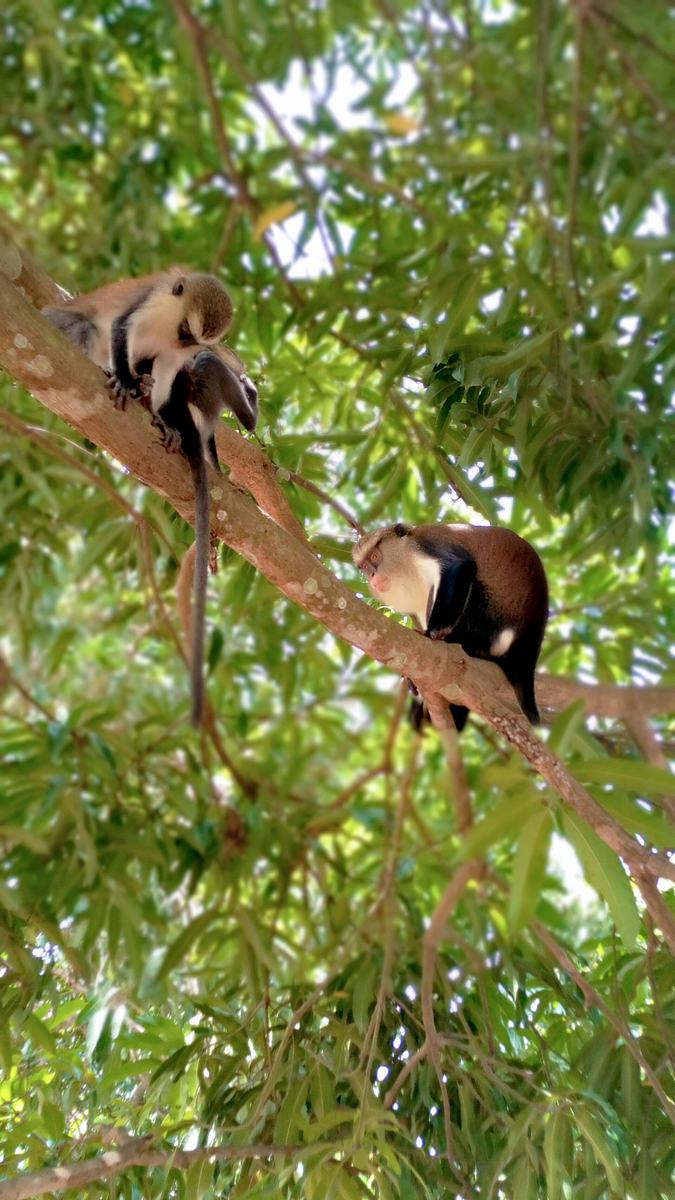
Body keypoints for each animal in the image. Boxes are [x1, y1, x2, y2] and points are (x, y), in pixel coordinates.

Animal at [353, 522, 548, 731]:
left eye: (375, 557)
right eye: (365, 567)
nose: (373, 575)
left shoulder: (426, 546)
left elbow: (461, 566)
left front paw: (430, 634)